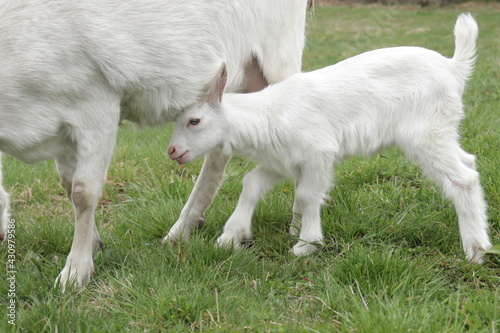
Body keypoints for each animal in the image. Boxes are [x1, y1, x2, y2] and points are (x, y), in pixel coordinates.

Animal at [0, 0, 308, 290]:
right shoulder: (62, 128)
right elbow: (67, 182)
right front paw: (95, 245)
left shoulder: (96, 105)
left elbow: (82, 192)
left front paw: (75, 273)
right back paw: (182, 229)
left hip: (279, 51)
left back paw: (299, 225)